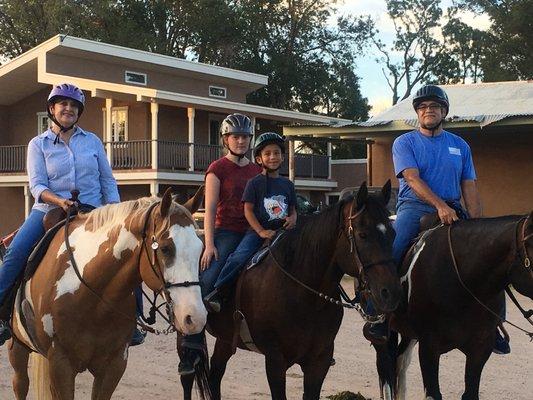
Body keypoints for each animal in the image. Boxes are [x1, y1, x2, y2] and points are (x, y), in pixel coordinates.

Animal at [8, 188, 208, 400]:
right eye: (165, 248)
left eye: (200, 248)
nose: (195, 318)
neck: (93, 302)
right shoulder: (60, 364)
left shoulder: (114, 365)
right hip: (18, 347)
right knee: (20, 384)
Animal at [181, 182, 402, 400]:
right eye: (362, 234)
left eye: (393, 234)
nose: (391, 293)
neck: (304, 295)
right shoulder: (275, 360)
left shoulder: (319, 361)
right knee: (188, 376)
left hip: (226, 339)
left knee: (215, 376)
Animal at [372, 212, 532, 400]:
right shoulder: (429, 346)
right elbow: (433, 393)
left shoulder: (480, 348)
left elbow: (470, 393)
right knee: (386, 366)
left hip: (408, 333)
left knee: (400, 362)